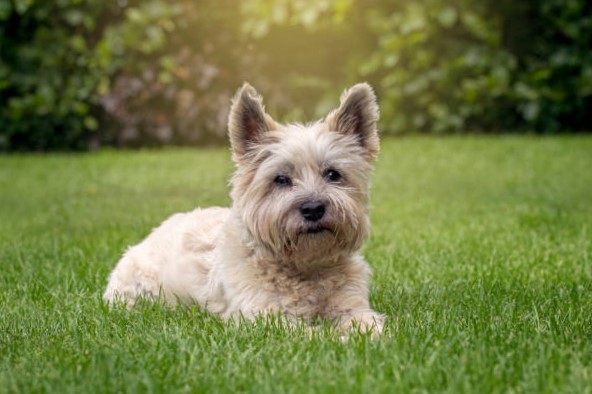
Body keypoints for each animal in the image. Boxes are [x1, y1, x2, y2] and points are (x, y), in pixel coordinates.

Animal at [104, 83, 386, 336]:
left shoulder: (352, 304)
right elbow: (311, 335)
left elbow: (365, 322)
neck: (305, 266)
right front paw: (338, 339)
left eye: (333, 174)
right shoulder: (265, 316)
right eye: (281, 179)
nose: (313, 208)